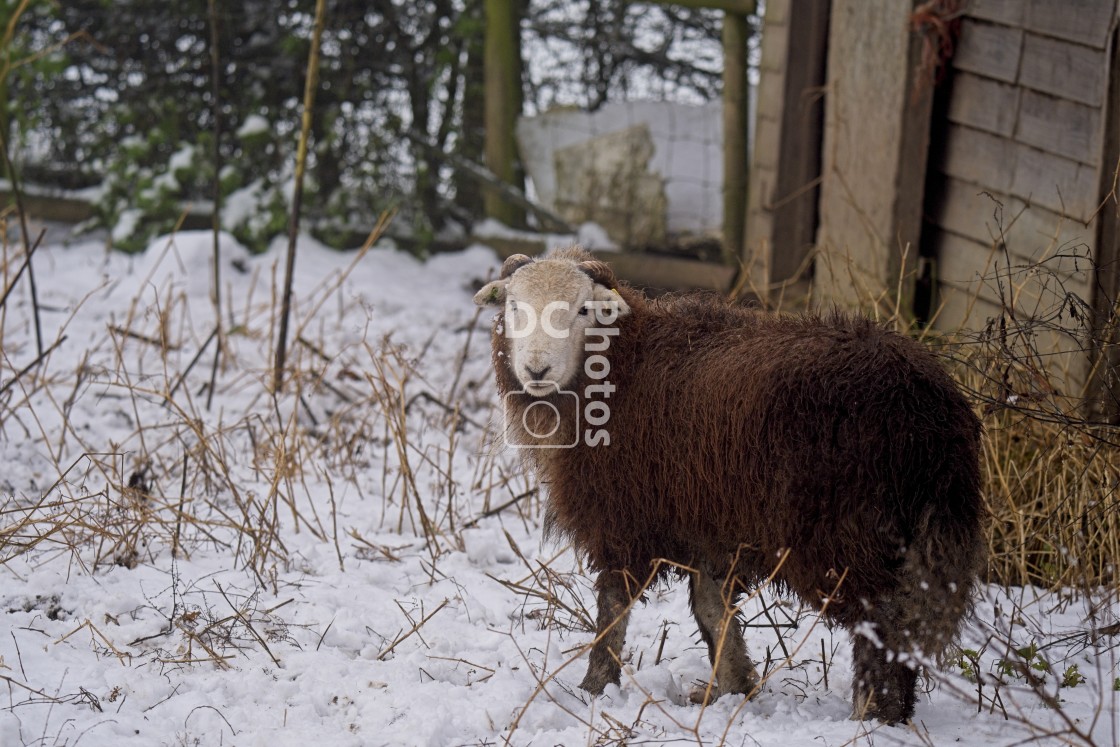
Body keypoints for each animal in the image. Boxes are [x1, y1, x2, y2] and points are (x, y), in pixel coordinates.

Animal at [472, 248, 990, 725]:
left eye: (583, 309)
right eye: (514, 305)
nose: (537, 370)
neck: (622, 365)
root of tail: (934, 408)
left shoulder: (625, 515)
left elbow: (613, 608)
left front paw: (595, 686)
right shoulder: (707, 519)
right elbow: (711, 606)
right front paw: (733, 687)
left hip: (847, 527)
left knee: (880, 620)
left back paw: (875, 715)